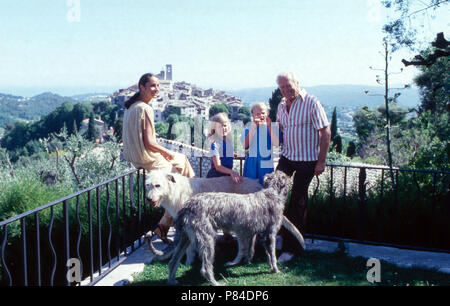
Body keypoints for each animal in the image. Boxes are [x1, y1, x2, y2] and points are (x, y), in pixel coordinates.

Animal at [148, 171, 306, 286]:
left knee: (172, 262)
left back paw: (171, 280)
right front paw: (276, 270)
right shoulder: (271, 234)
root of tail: (186, 207)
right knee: (205, 268)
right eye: (286, 177)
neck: (271, 193)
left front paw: (270, 267)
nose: (291, 176)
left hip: (185, 237)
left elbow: (268, 253)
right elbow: (273, 255)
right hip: (206, 239)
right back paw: (216, 282)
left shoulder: (263, 235)